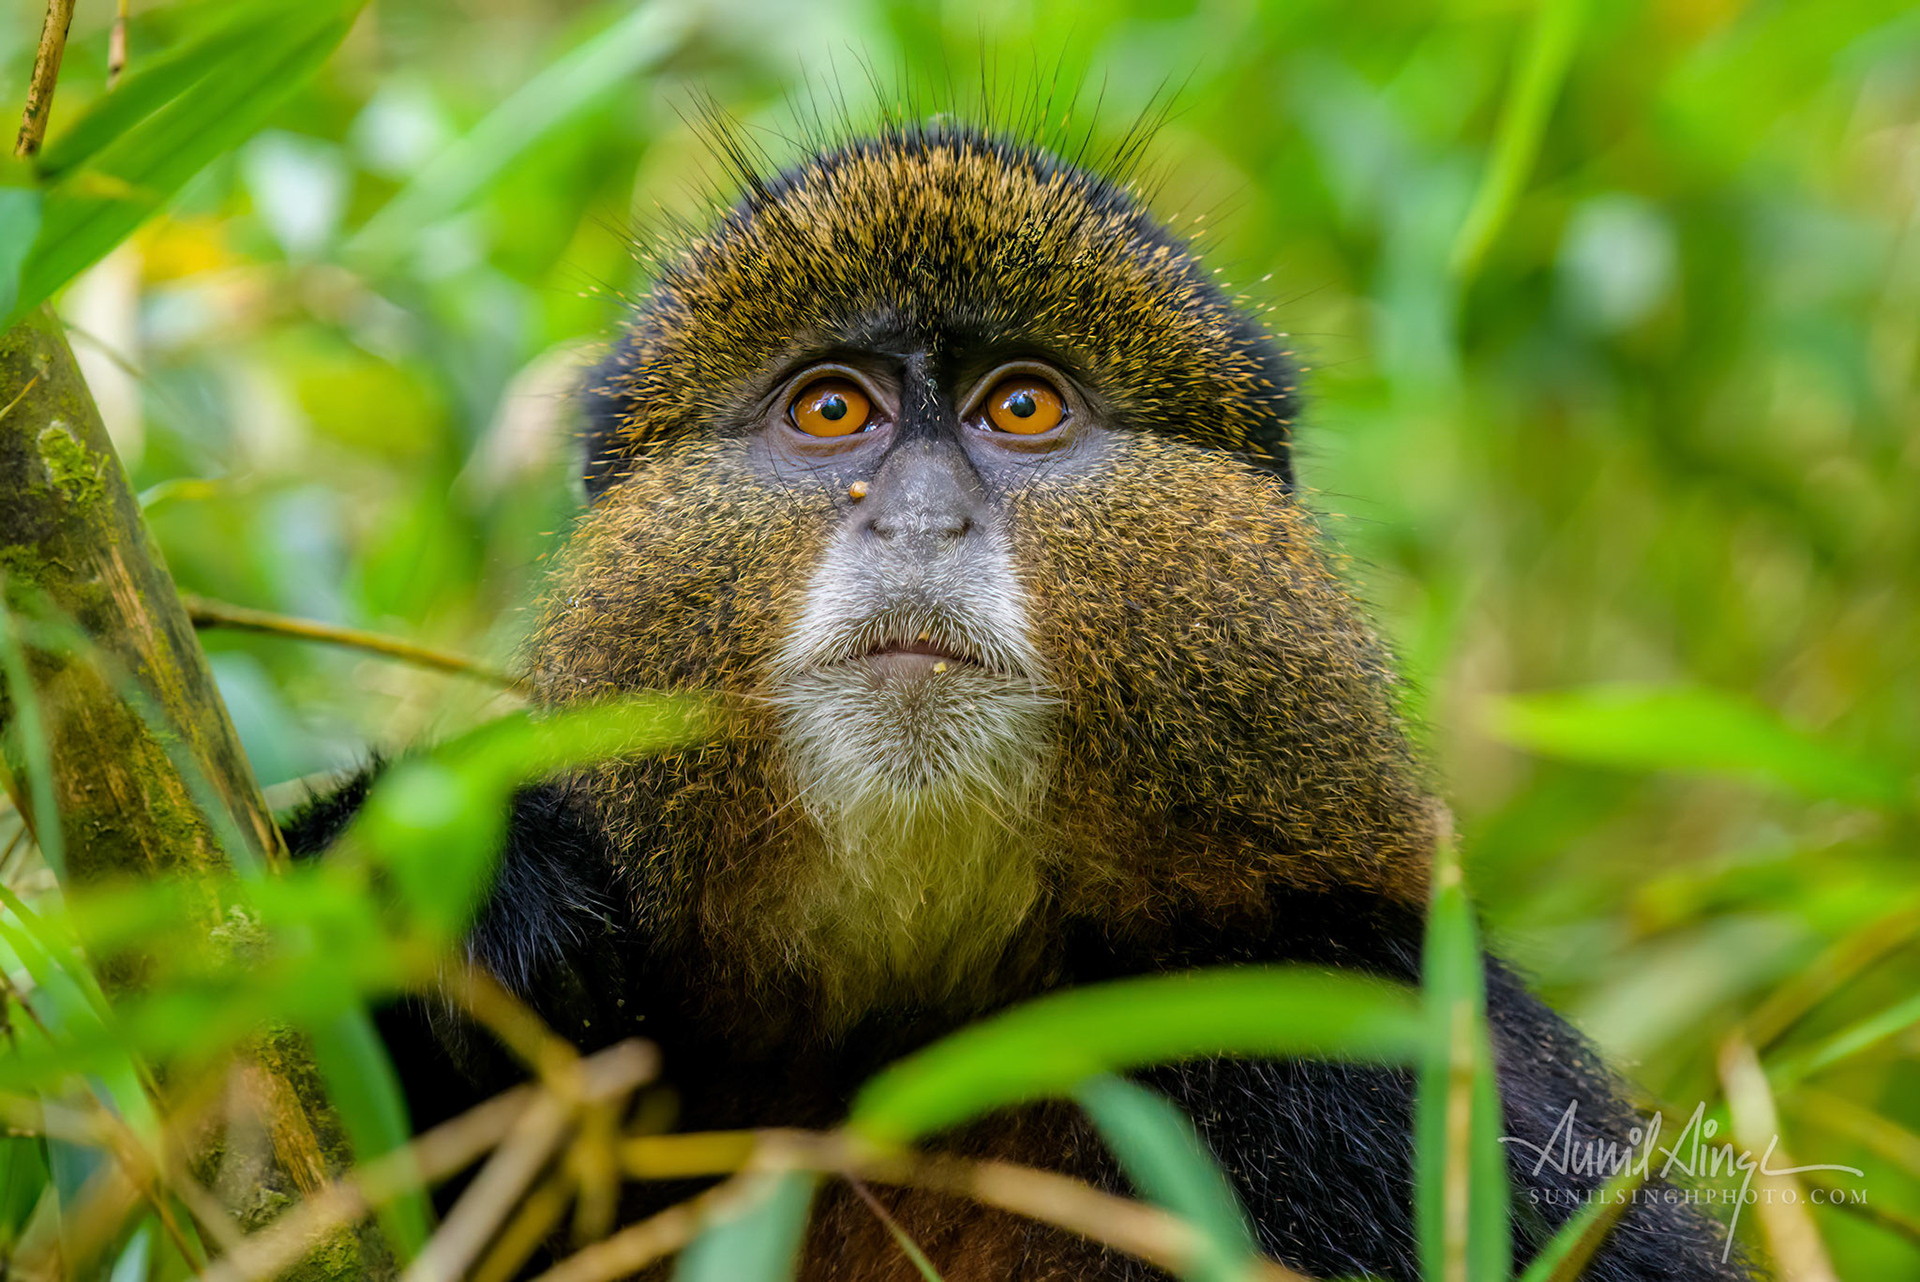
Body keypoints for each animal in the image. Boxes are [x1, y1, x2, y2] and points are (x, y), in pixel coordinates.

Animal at [285, 118, 1754, 1281]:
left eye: (1025, 407)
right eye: (833, 411)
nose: (922, 519)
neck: (922, 1018)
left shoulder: (1377, 1032)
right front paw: (453, 874)